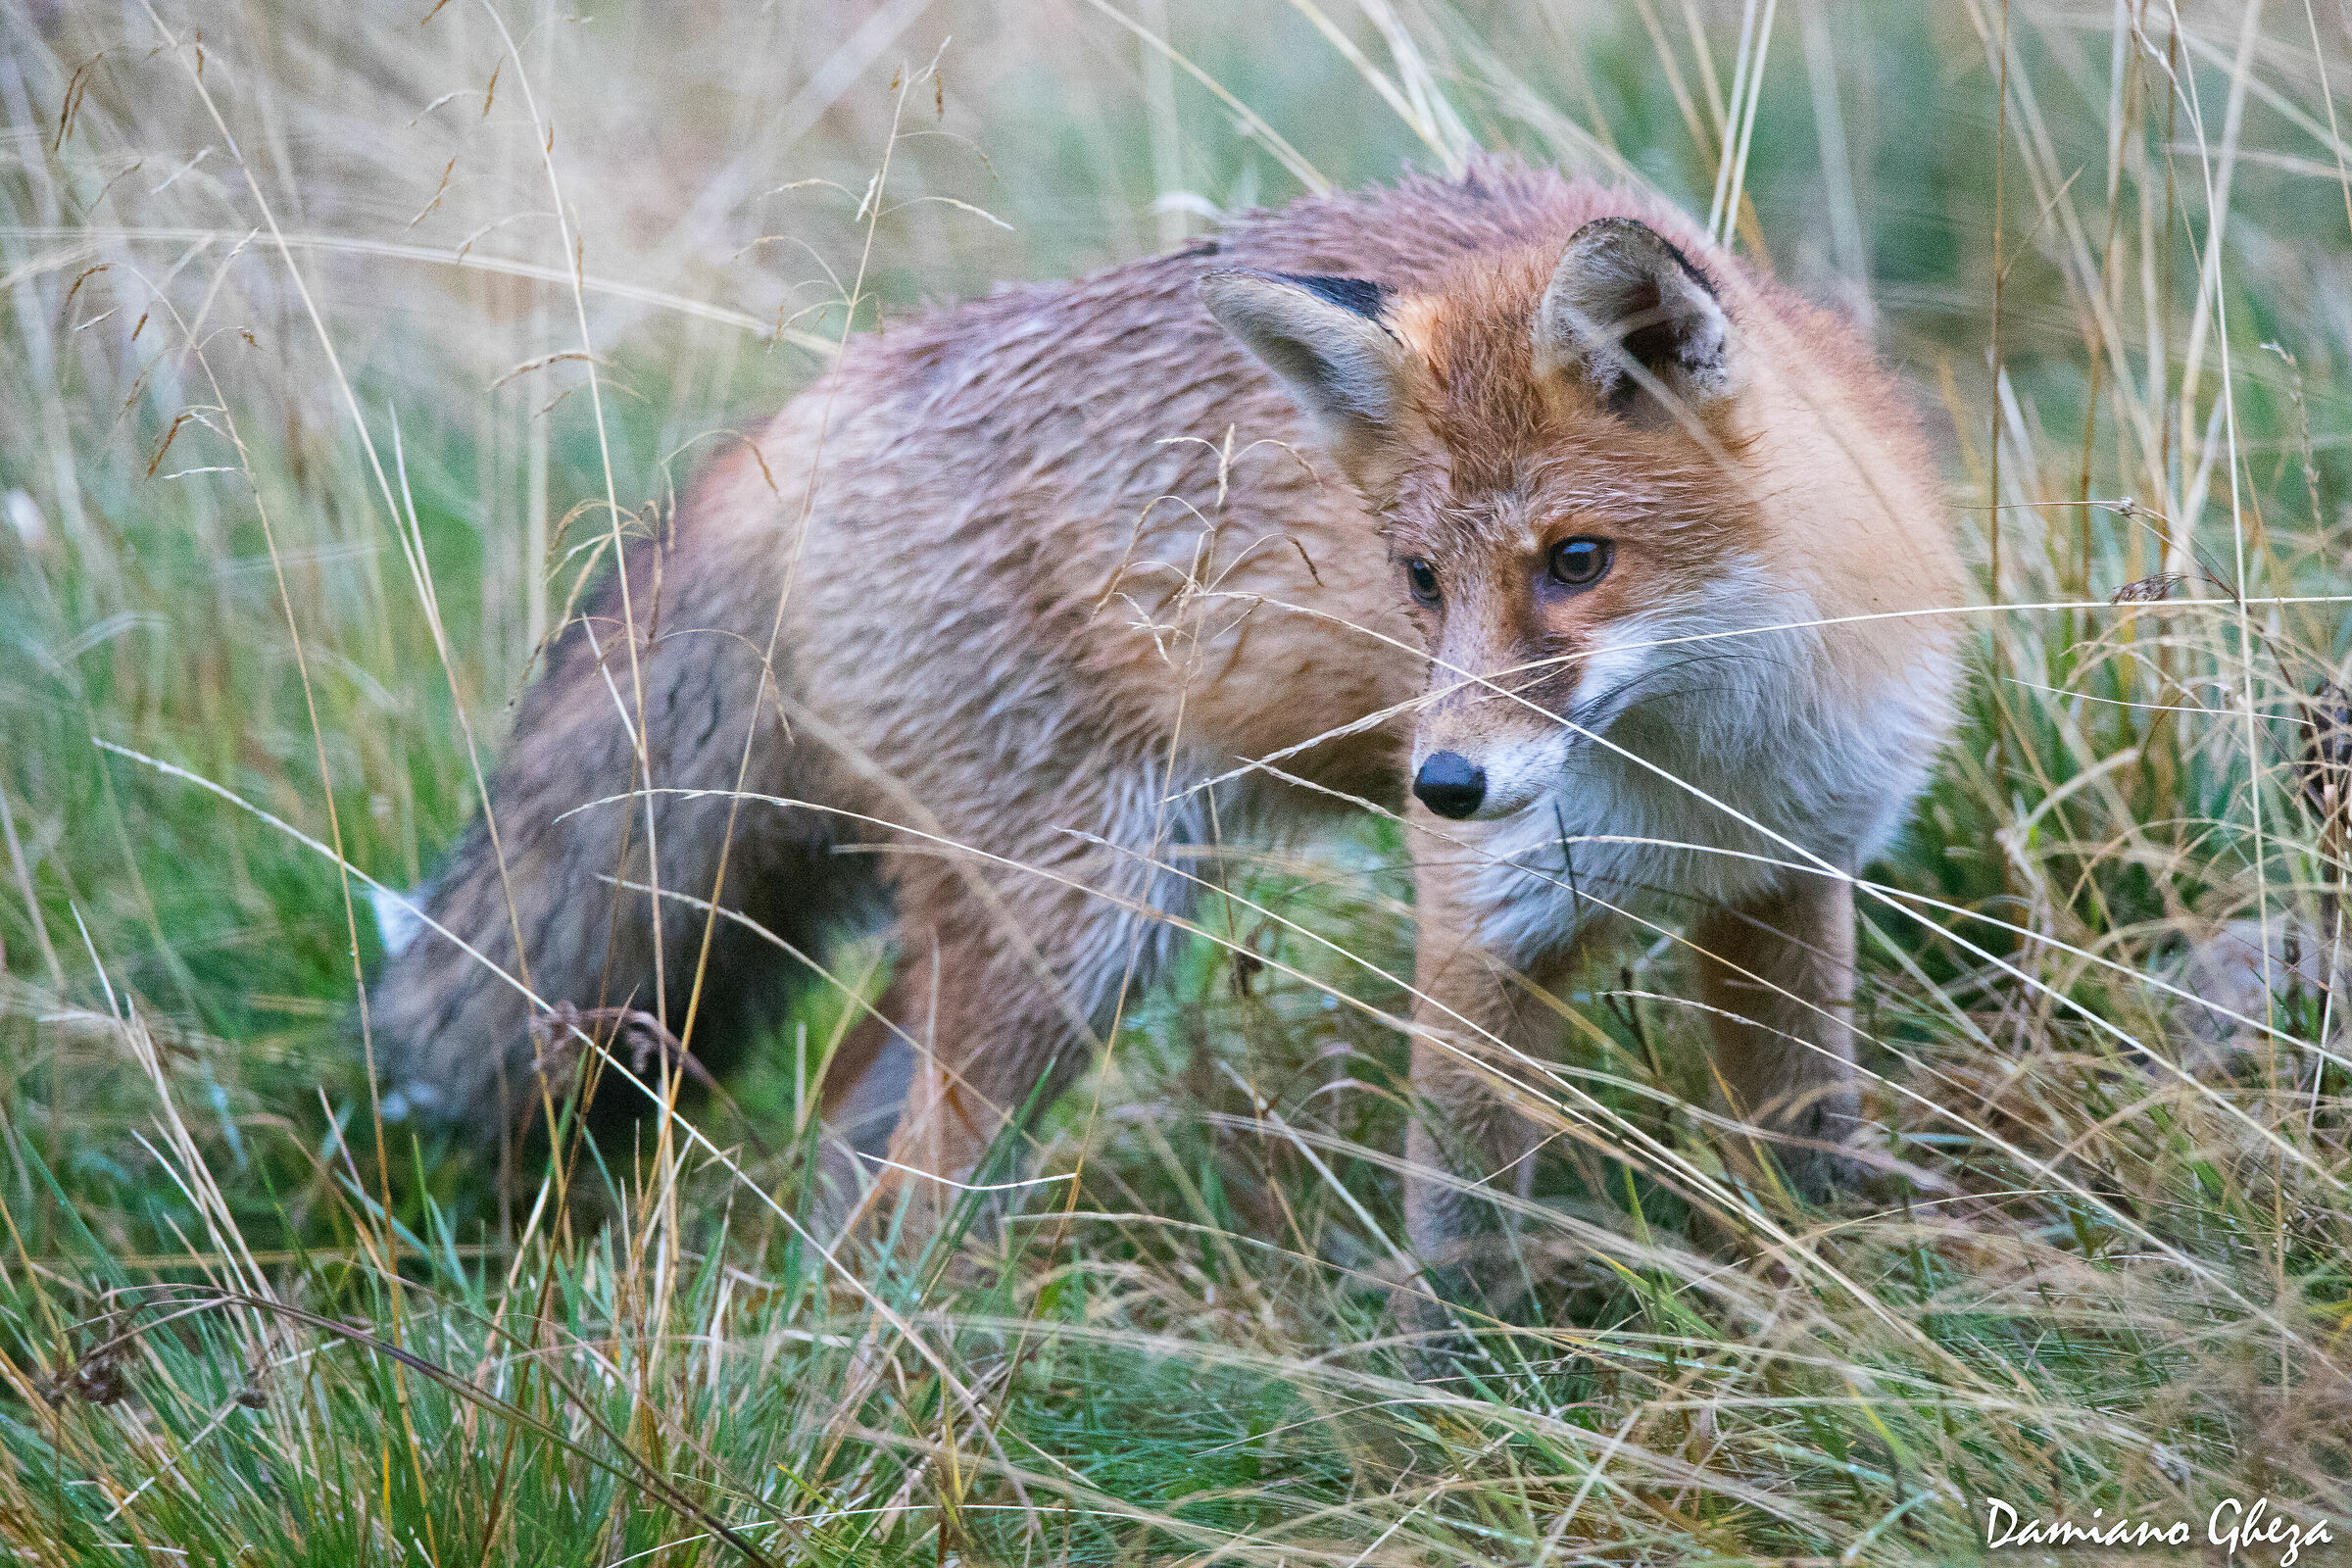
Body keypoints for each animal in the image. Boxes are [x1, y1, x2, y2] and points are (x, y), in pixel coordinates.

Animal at [370, 156, 1963, 1270]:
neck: (1707, 769)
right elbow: (1457, 1236)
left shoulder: (1785, 882)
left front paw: (1850, 1294)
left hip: (1043, 940)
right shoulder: (1488, 922)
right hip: (1083, 928)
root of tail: (822, 402)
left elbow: (1812, 1149)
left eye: (1578, 563)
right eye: (1419, 582)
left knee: (844, 1127)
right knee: (901, 1182)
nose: (1441, 783)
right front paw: (1463, 1398)